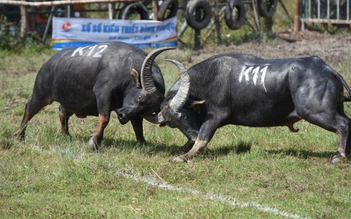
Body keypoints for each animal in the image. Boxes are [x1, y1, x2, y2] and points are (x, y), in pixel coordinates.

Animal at [15, 41, 175, 149]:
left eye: (149, 111)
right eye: (140, 98)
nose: (122, 116)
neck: (125, 69)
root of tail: (48, 63)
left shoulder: (131, 110)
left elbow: (137, 125)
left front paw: (142, 142)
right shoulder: (103, 94)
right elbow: (104, 118)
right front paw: (95, 141)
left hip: (70, 101)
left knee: (62, 112)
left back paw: (66, 135)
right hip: (41, 93)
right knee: (30, 108)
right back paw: (19, 135)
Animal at [144, 54, 351, 163]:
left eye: (183, 115)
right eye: (173, 124)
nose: (191, 135)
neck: (209, 79)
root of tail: (326, 69)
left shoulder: (214, 117)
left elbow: (203, 138)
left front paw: (184, 156)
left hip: (315, 112)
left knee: (343, 124)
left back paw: (338, 156)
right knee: (348, 122)